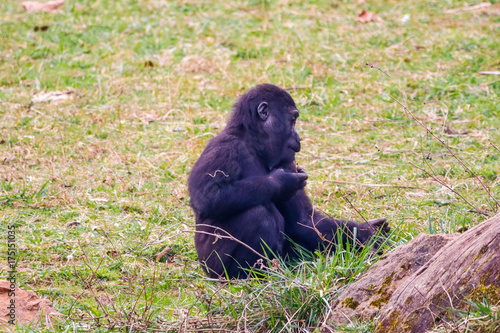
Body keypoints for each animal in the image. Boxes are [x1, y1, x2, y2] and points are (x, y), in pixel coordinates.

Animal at [188, 83, 390, 278]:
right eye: (292, 120)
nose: (298, 137)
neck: (252, 142)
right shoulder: (226, 148)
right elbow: (207, 197)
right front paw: (281, 182)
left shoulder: (289, 161)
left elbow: (304, 220)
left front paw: (367, 233)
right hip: (211, 267)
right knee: (257, 215)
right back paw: (250, 275)